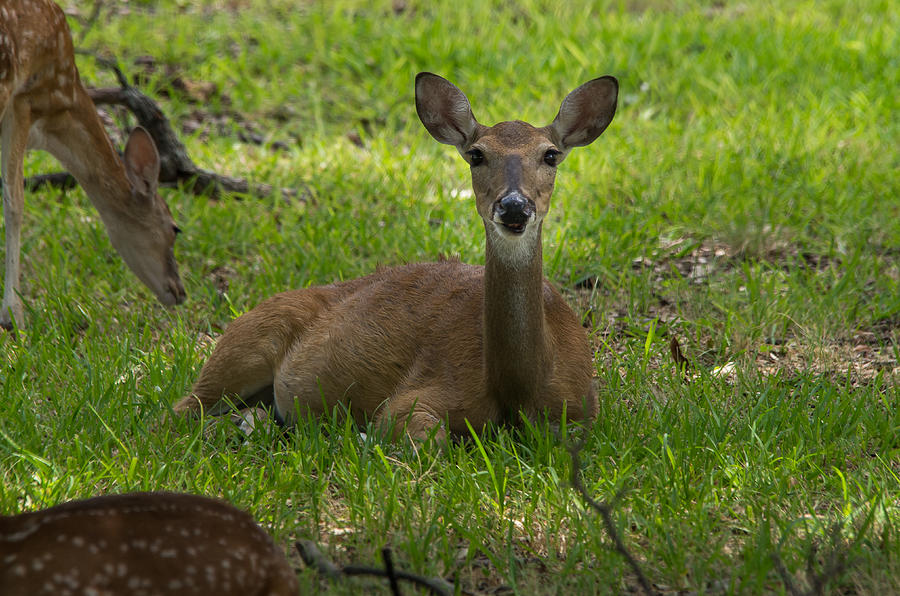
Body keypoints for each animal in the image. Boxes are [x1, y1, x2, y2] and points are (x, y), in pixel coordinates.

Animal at [174, 72, 620, 440]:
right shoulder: (421, 392)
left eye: (550, 154)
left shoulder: (585, 409)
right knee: (180, 409)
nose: (513, 206)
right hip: (245, 342)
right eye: (476, 154)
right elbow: (421, 436)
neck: (518, 388)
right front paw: (364, 435)